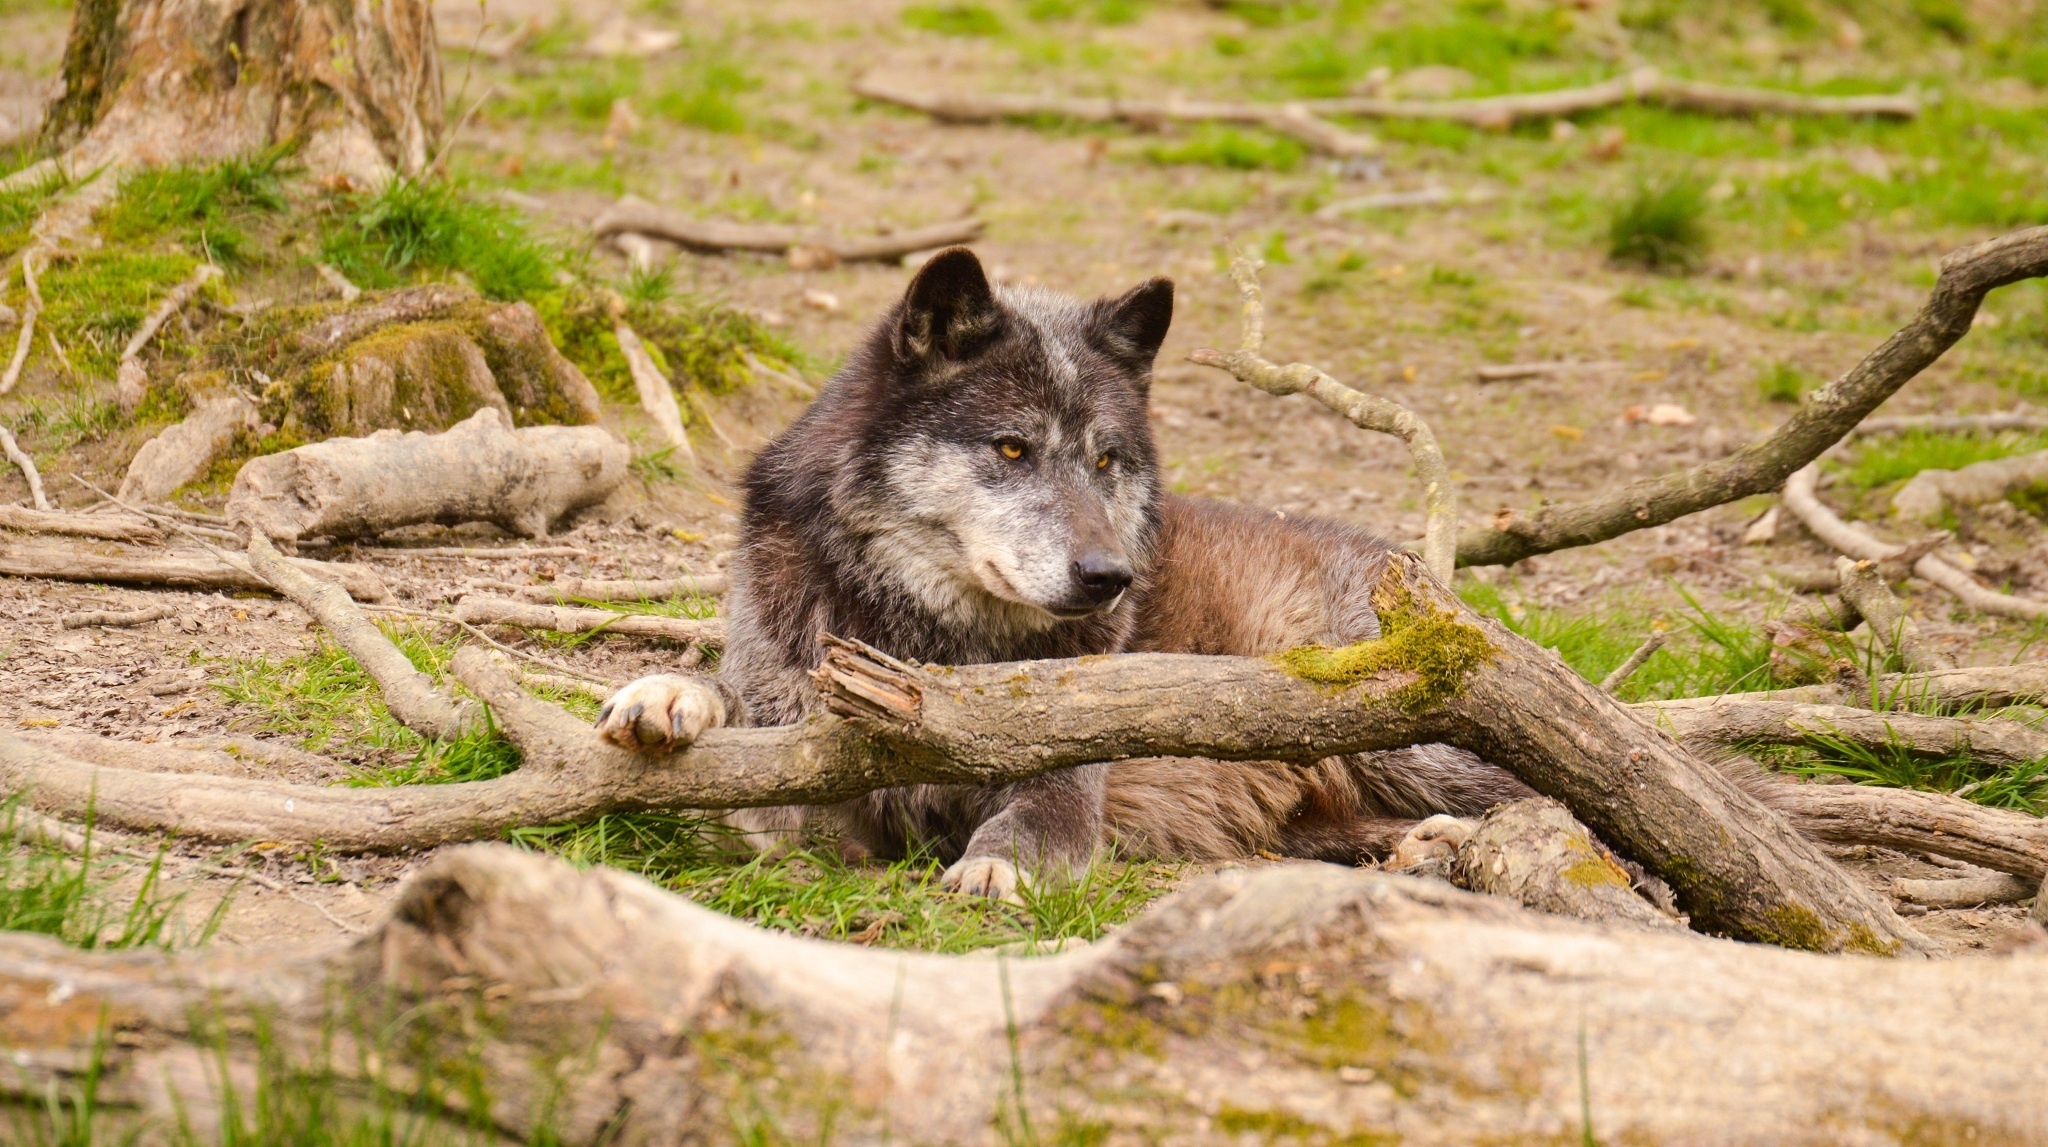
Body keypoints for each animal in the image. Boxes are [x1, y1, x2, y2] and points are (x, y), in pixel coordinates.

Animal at [589, 248, 1523, 897]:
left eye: (1106, 459)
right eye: (1012, 448)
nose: (1110, 575)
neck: (931, 642)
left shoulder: (1068, 780)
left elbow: (1036, 817)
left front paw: (996, 867)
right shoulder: (796, 739)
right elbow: (732, 706)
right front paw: (666, 694)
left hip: (1414, 734)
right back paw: (1424, 847)